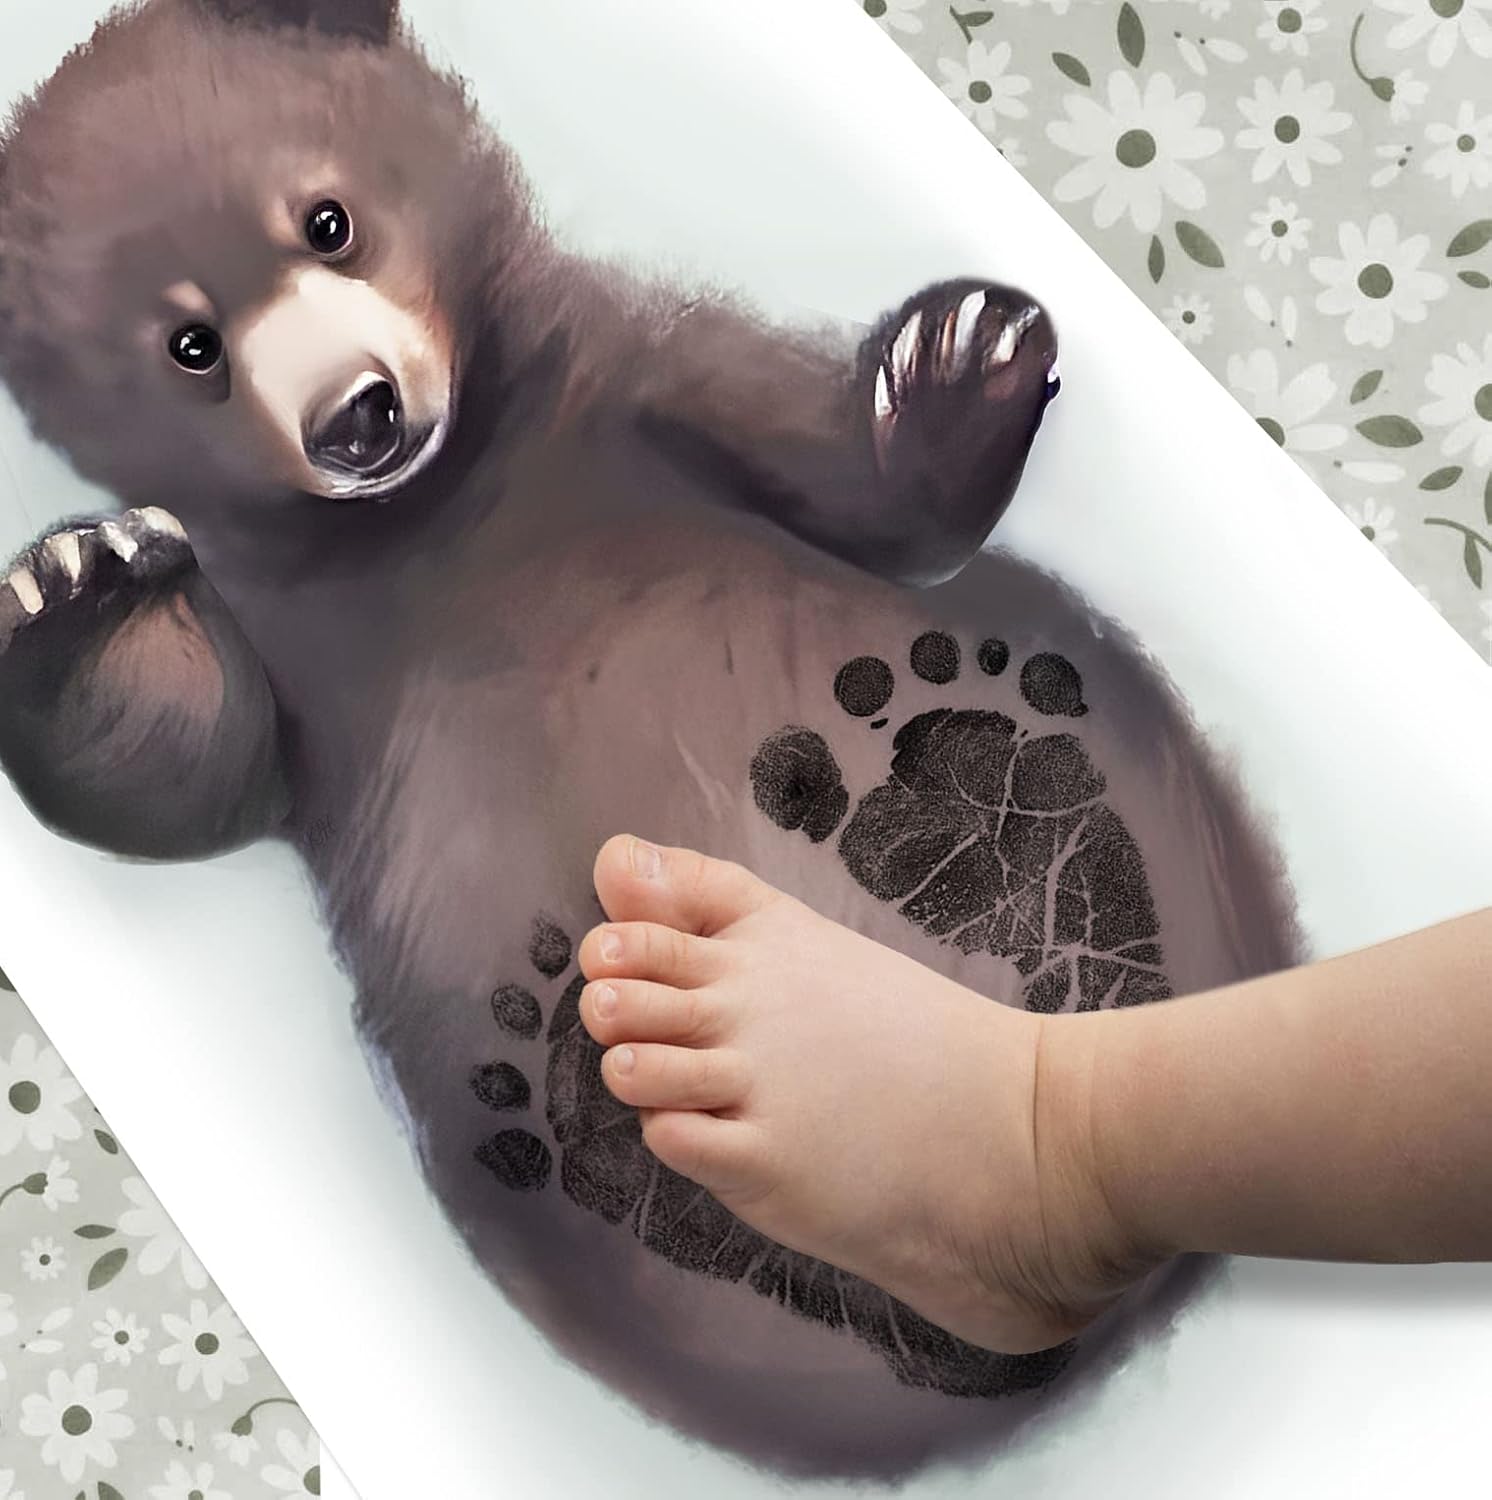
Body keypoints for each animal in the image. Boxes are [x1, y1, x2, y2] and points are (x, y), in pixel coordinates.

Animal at [0, 0, 1300, 1478]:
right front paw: (77, 583)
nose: (356, 413)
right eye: (190, 345)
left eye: (327, 221)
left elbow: (846, 484)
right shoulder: (305, 652)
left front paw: (961, 353)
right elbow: (189, 768)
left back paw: (1005, 834)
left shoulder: (641, 385)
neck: (442, 508)